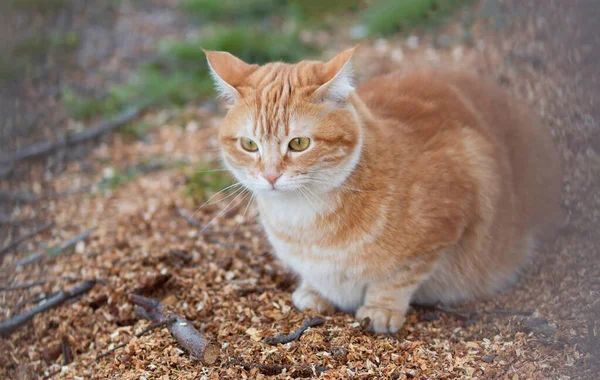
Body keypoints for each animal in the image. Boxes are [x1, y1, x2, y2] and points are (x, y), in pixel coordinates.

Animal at [205, 47, 564, 332]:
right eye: (249, 145)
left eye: (299, 143)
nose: (269, 176)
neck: (304, 223)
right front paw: (315, 290)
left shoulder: (448, 218)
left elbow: (398, 277)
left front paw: (380, 308)